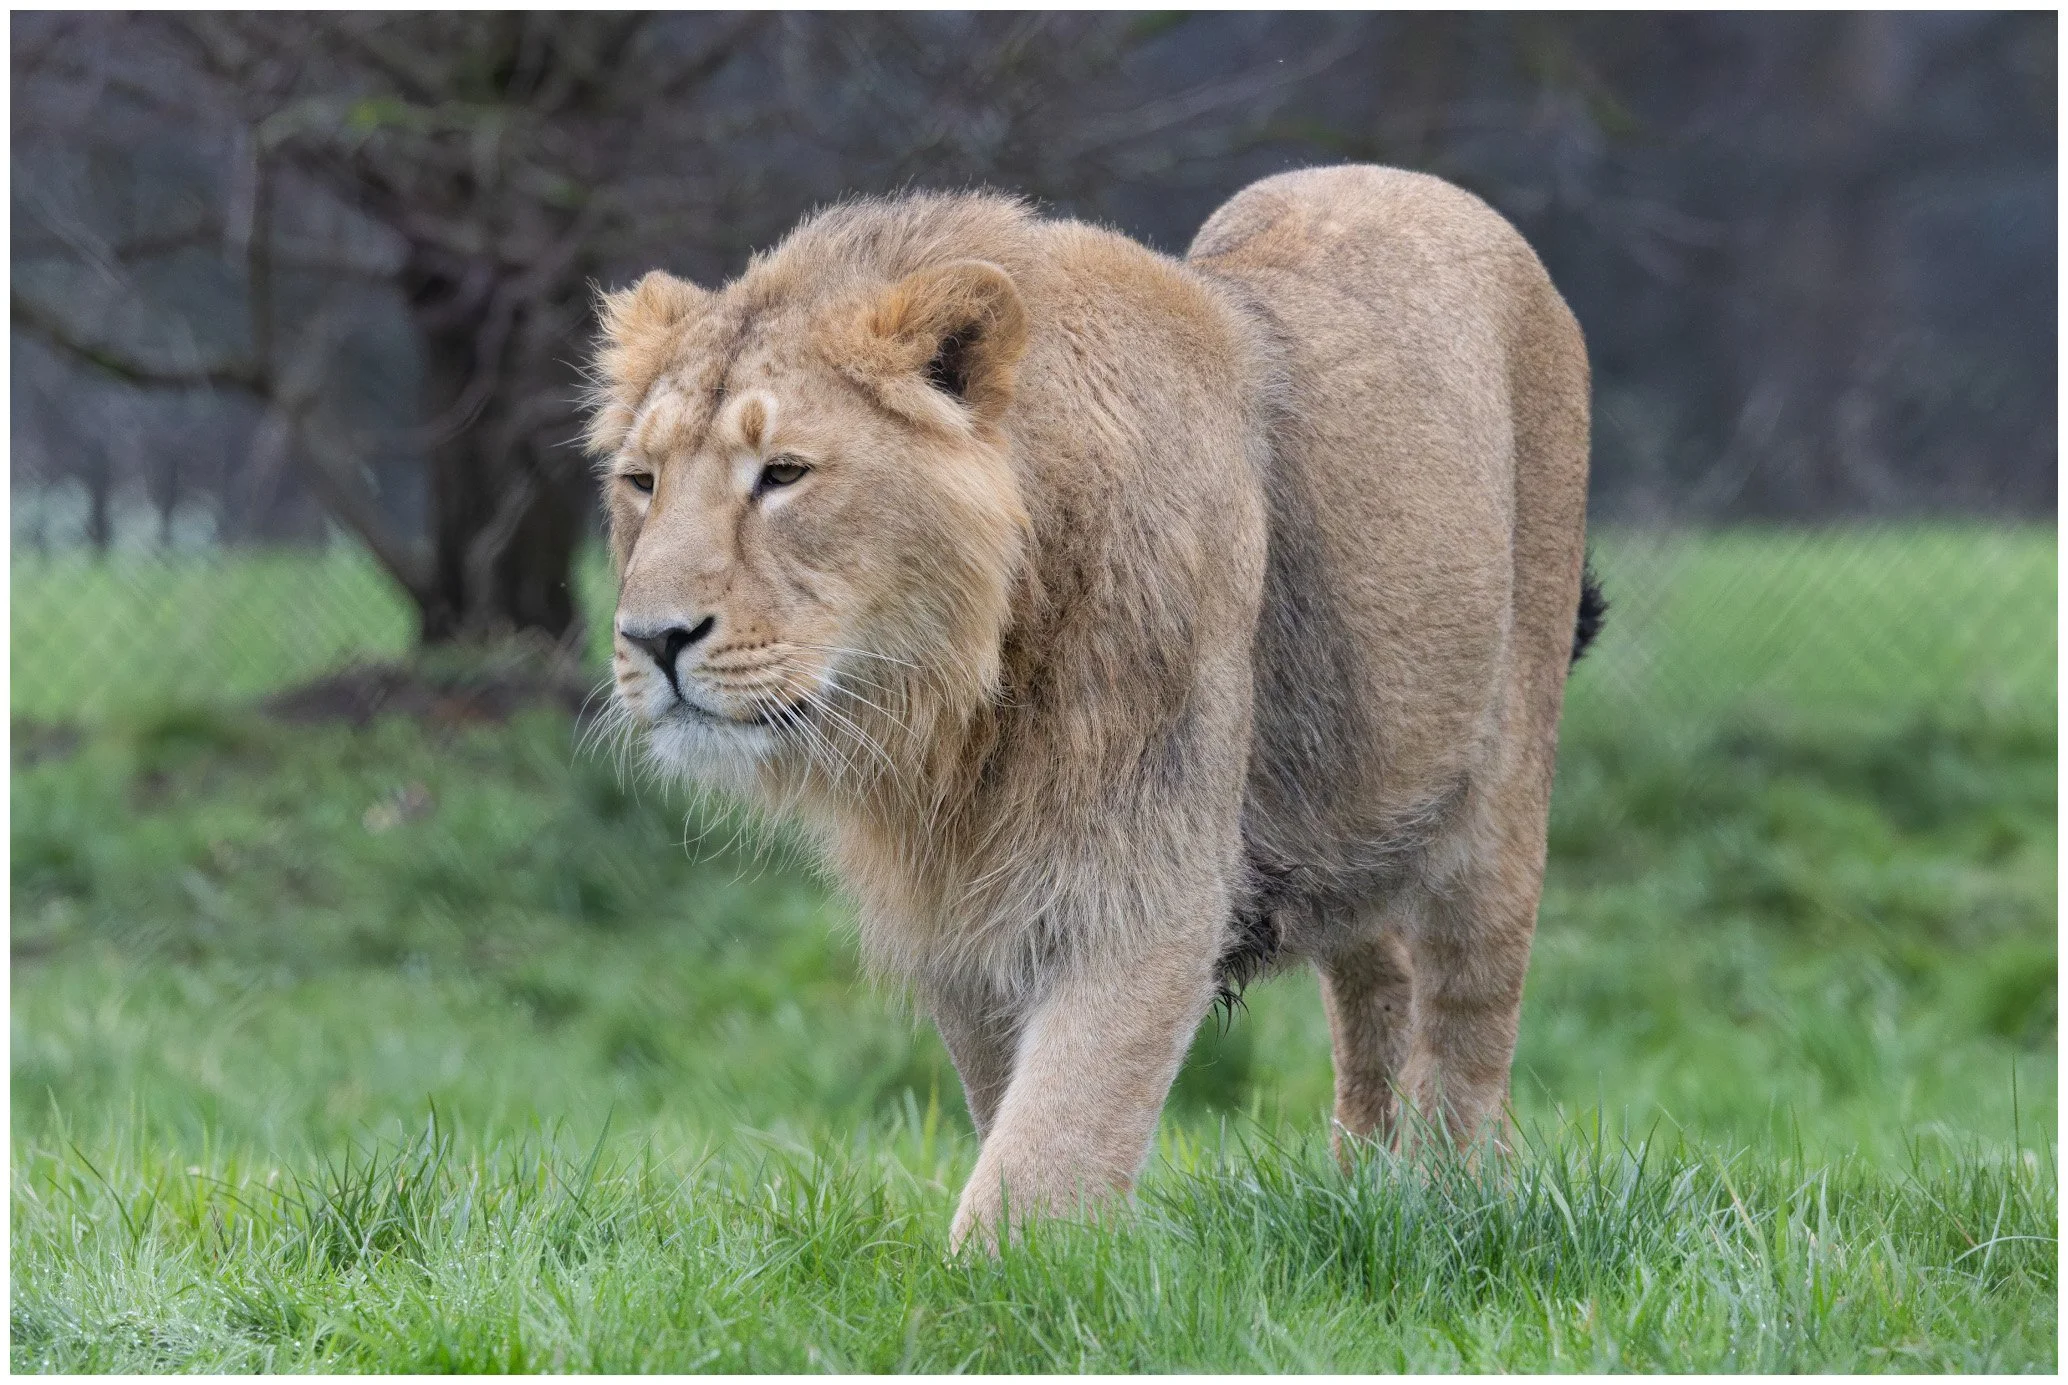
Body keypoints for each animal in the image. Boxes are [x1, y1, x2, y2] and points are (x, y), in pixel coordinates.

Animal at [586, 164, 1596, 1250]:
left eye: (782, 474)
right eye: (641, 481)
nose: (652, 638)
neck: (962, 705)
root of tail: (1422, 185)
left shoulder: (1143, 884)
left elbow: (1049, 1144)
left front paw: (1000, 1277)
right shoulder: (965, 916)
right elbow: (1011, 1113)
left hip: (1501, 781)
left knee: (1467, 1023)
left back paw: (1449, 1205)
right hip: (1359, 799)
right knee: (1376, 991)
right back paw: (1363, 1190)